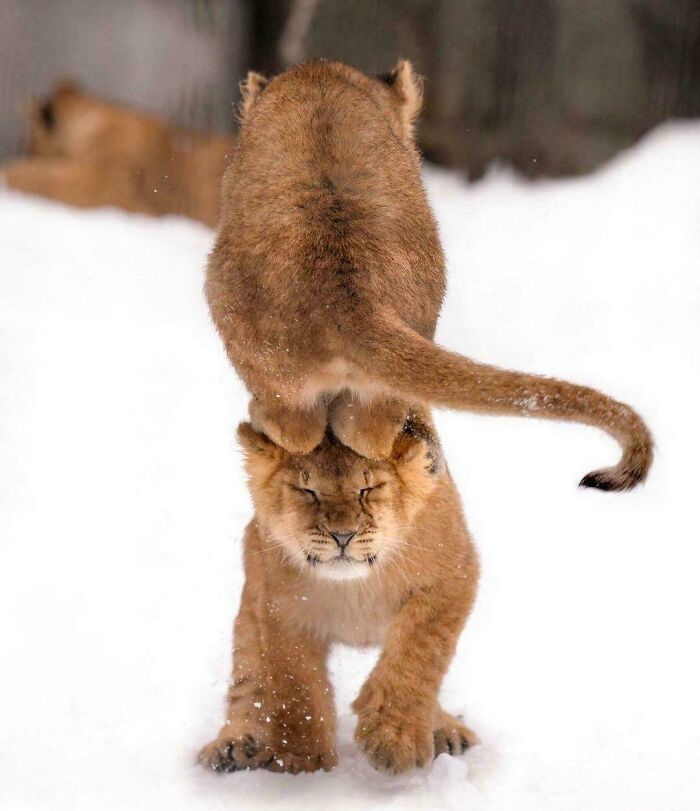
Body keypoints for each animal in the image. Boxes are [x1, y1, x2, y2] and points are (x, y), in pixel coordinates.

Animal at [198, 419, 480, 775]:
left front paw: (393, 739)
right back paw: (233, 745)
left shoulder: (451, 580)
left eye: (368, 489)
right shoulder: (282, 609)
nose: (342, 536)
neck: (355, 586)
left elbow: (415, 658)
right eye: (308, 491)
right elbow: (297, 685)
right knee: (248, 680)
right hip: (250, 604)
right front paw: (301, 762)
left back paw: (446, 730)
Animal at [206, 59, 652, 491]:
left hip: (239, 326)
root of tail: (345, 294)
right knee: (365, 433)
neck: (321, 77)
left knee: (299, 429)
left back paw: (256, 416)